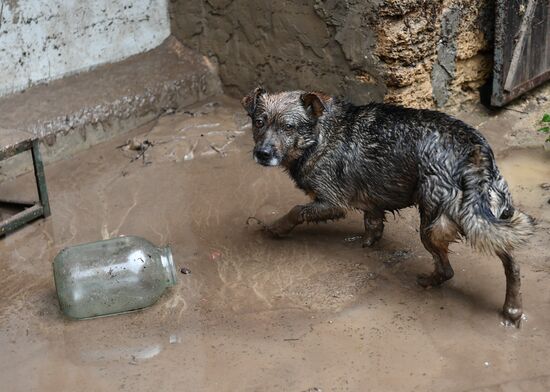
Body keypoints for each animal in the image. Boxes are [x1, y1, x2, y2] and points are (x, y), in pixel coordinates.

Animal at [242, 87, 536, 326]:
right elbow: (372, 223)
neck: (320, 134)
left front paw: (276, 229)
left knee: (447, 269)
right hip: (486, 218)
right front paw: (368, 241)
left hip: (433, 226)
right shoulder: (371, 203)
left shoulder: (332, 202)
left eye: (288, 127)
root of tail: (473, 150)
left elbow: (296, 211)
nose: (262, 154)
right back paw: (513, 309)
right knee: (512, 262)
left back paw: (429, 282)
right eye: (259, 122)